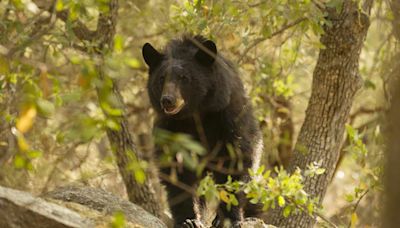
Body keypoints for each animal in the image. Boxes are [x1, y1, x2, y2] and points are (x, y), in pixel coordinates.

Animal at [141, 34, 262, 227]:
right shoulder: (171, 128)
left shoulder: (228, 117)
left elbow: (235, 161)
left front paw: (229, 219)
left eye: (184, 78)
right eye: (161, 78)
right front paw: (188, 219)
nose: (167, 100)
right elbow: (177, 170)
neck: (195, 113)